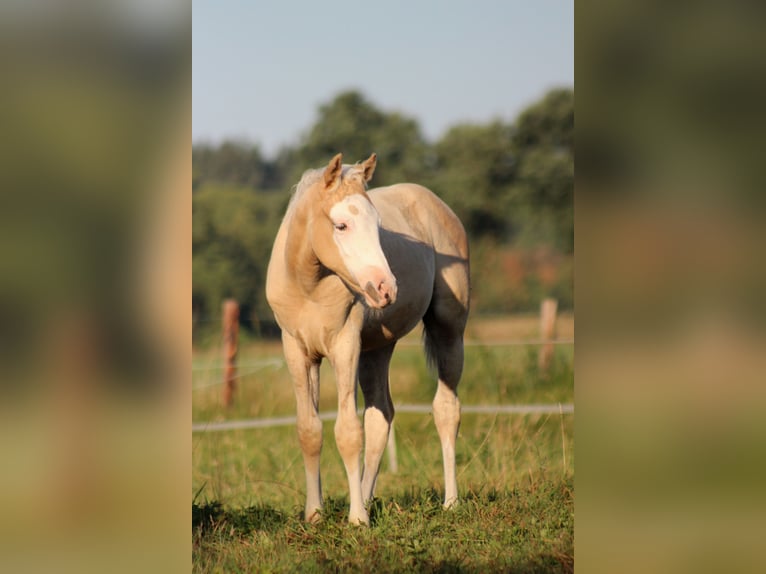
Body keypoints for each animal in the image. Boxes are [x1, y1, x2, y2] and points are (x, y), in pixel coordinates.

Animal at [266, 153, 470, 525]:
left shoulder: (344, 345)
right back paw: (368, 496)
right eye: (341, 226)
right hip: (377, 348)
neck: (309, 287)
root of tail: (436, 204)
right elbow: (309, 430)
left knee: (446, 409)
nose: (385, 288)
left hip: (449, 329)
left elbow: (347, 431)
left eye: (378, 226)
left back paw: (451, 502)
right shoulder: (298, 350)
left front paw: (357, 519)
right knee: (380, 418)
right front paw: (315, 514)